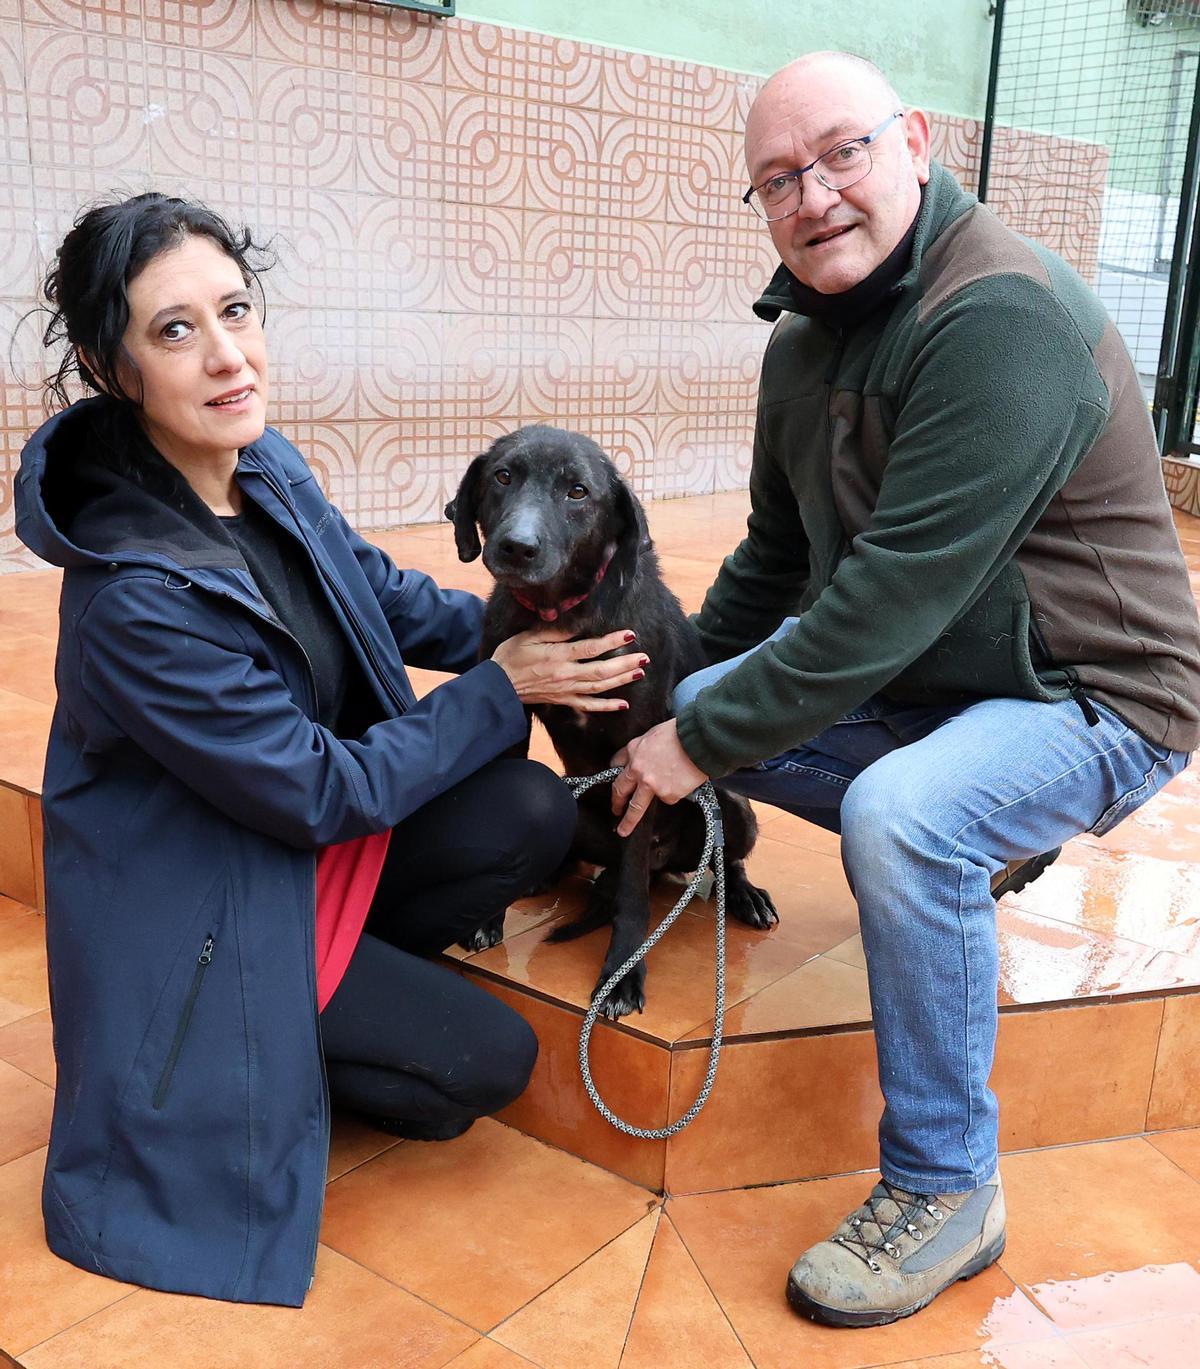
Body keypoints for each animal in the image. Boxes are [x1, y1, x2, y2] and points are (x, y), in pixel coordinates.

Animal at [446, 424, 771, 1018]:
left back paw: (743, 895)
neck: (564, 614)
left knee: (714, 861)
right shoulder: (511, 714)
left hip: (731, 810)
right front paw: (488, 916)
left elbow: (633, 899)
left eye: (578, 492)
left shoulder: (643, 764)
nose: (517, 547)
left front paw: (622, 973)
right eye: (503, 476)